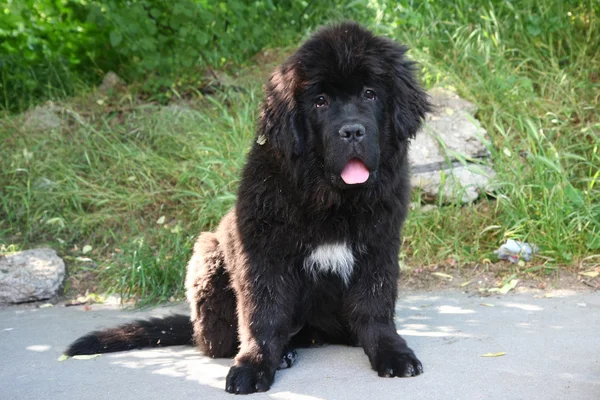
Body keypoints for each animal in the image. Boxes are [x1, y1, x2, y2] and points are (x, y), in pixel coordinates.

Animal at [65, 21, 432, 394]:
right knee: (222, 341)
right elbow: (263, 315)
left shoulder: (378, 246)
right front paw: (254, 365)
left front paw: (391, 352)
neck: (330, 198)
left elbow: (375, 309)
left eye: (370, 94)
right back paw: (278, 353)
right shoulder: (262, 254)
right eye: (320, 101)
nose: (353, 131)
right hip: (208, 257)